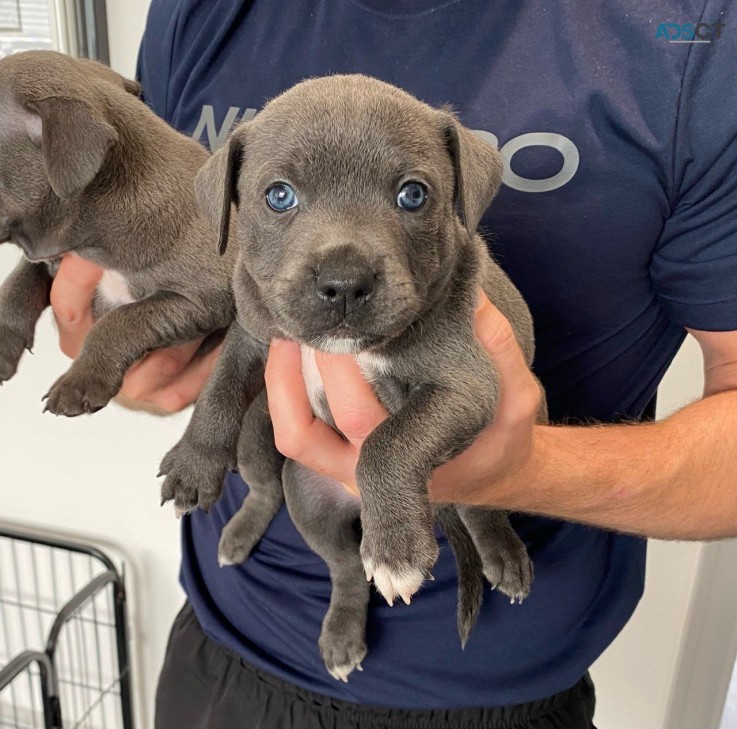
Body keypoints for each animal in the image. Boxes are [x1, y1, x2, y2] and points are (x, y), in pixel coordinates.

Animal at [160, 75, 540, 684]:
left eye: (413, 195)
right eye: (279, 196)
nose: (343, 282)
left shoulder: (466, 381)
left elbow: (390, 440)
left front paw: (396, 551)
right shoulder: (253, 335)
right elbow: (218, 391)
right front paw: (194, 465)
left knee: (479, 508)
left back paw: (500, 552)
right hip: (305, 495)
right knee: (334, 561)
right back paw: (335, 627)